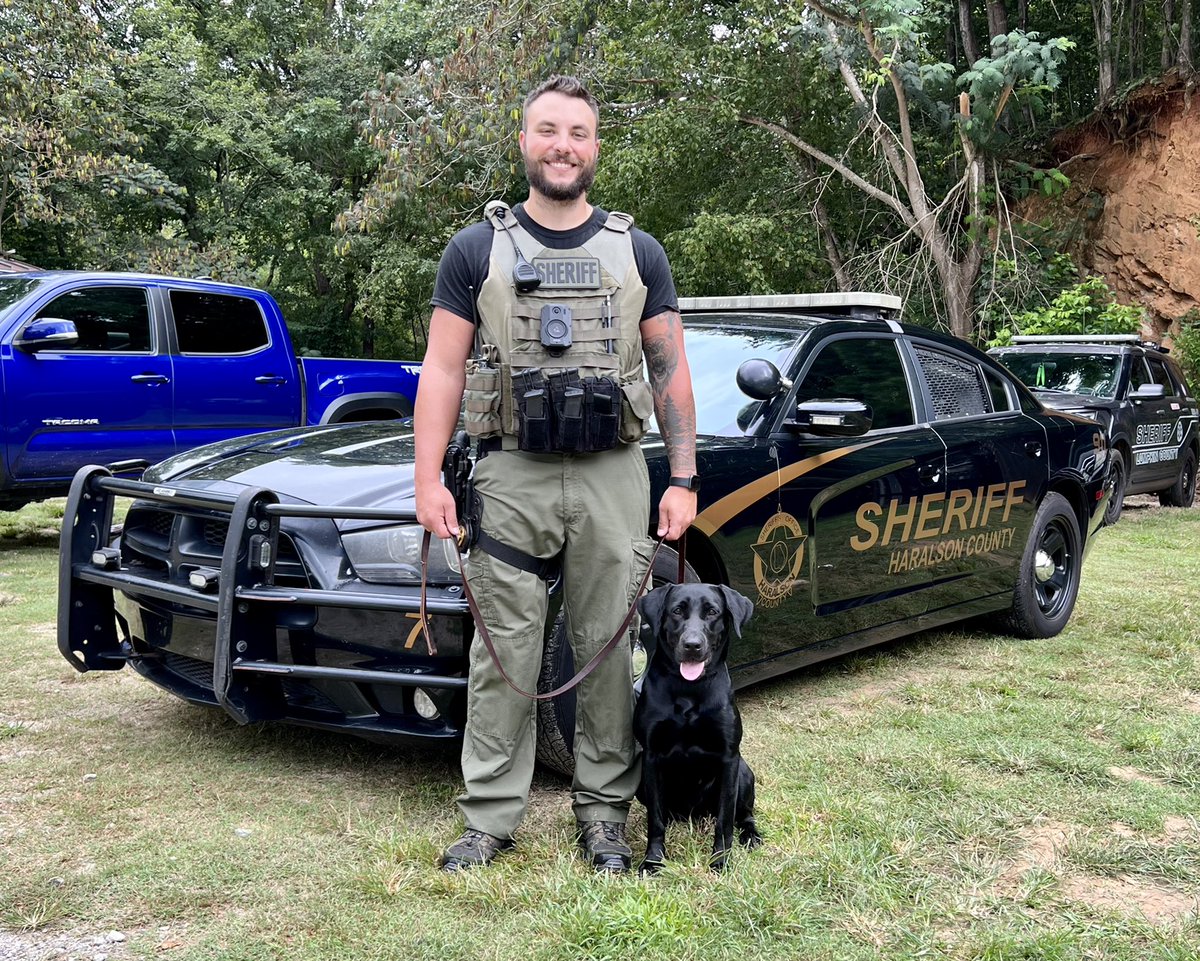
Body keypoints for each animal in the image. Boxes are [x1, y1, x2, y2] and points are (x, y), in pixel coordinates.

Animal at [633, 580, 763, 873]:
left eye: (712, 612)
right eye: (677, 611)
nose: (692, 645)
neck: (688, 689)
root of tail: (695, 815)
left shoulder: (729, 758)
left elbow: (725, 820)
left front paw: (720, 860)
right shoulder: (651, 757)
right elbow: (655, 820)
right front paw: (653, 860)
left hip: (744, 772)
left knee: (744, 815)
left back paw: (751, 836)